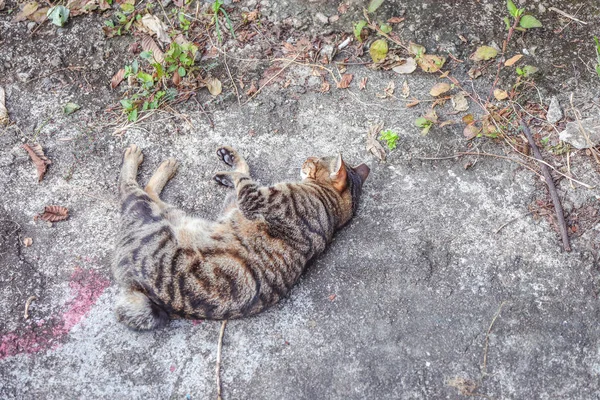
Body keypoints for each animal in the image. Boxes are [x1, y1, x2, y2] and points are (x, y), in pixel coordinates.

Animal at [110, 145, 368, 330]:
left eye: (316, 160)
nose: (306, 158)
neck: (332, 208)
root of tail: (146, 295)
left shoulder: (254, 199)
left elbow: (243, 179)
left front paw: (230, 171)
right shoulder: (234, 206)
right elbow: (243, 173)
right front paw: (231, 161)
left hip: (147, 213)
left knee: (129, 188)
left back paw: (139, 159)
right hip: (175, 214)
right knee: (150, 192)